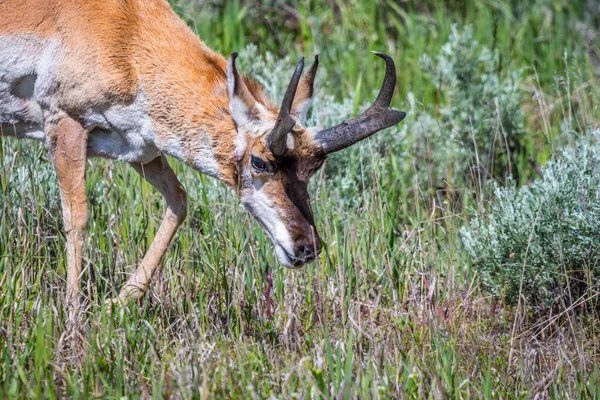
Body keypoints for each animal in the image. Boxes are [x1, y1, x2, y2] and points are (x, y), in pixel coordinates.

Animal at [0, 0, 406, 310]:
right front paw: (73, 315)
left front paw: (120, 301)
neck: (130, 34)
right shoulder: (65, 122)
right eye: (259, 161)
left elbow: (180, 201)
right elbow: (78, 216)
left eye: (314, 167)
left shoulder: (140, 148)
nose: (308, 247)